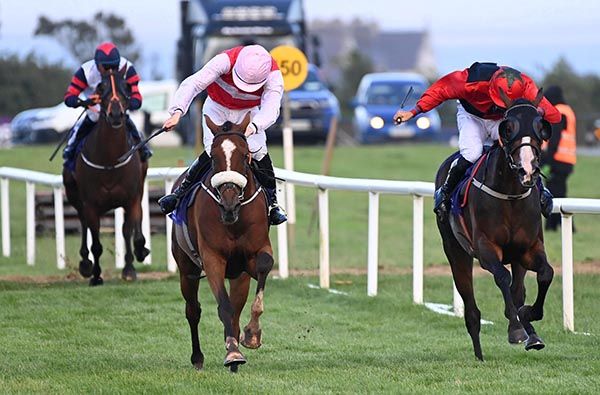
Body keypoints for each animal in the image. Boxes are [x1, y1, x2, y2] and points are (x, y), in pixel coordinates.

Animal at [62, 67, 149, 284]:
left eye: (127, 86)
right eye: (100, 87)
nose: (116, 114)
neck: (110, 161)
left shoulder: (131, 198)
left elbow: (130, 232)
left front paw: (131, 266)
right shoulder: (91, 204)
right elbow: (96, 243)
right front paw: (96, 276)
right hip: (74, 195)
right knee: (83, 223)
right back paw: (85, 264)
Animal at [171, 113, 274, 372]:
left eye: (245, 155)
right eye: (214, 157)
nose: (229, 204)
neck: (233, 222)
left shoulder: (253, 256)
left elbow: (264, 265)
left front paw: (252, 334)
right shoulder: (212, 259)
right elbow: (223, 307)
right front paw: (233, 354)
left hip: (239, 277)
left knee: (236, 312)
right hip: (186, 269)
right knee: (193, 310)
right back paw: (198, 357)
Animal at [436, 89, 552, 362]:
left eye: (541, 126)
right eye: (508, 127)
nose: (527, 169)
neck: (509, 195)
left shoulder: (529, 248)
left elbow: (545, 274)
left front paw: (528, 319)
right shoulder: (485, 249)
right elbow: (502, 277)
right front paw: (519, 325)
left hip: (517, 256)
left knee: (518, 288)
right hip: (456, 252)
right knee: (472, 310)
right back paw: (480, 353)